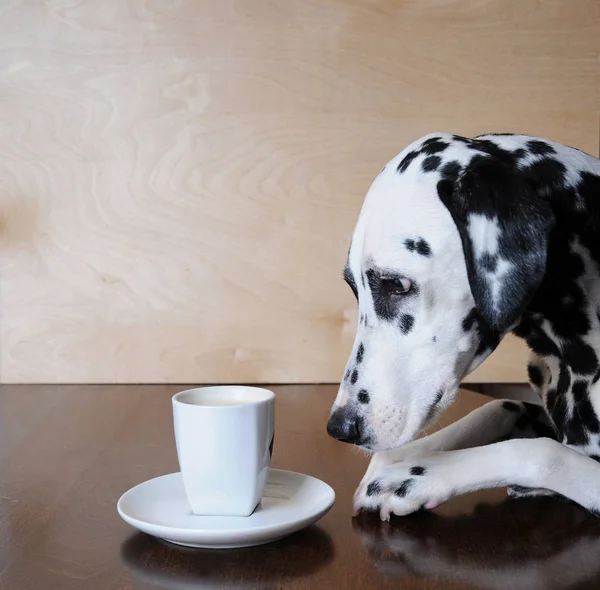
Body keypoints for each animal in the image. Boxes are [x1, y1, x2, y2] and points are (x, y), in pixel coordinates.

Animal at [326, 132, 600, 520]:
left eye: (396, 285)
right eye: (354, 288)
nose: (341, 428)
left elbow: (540, 451)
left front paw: (417, 476)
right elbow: (497, 406)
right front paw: (402, 457)